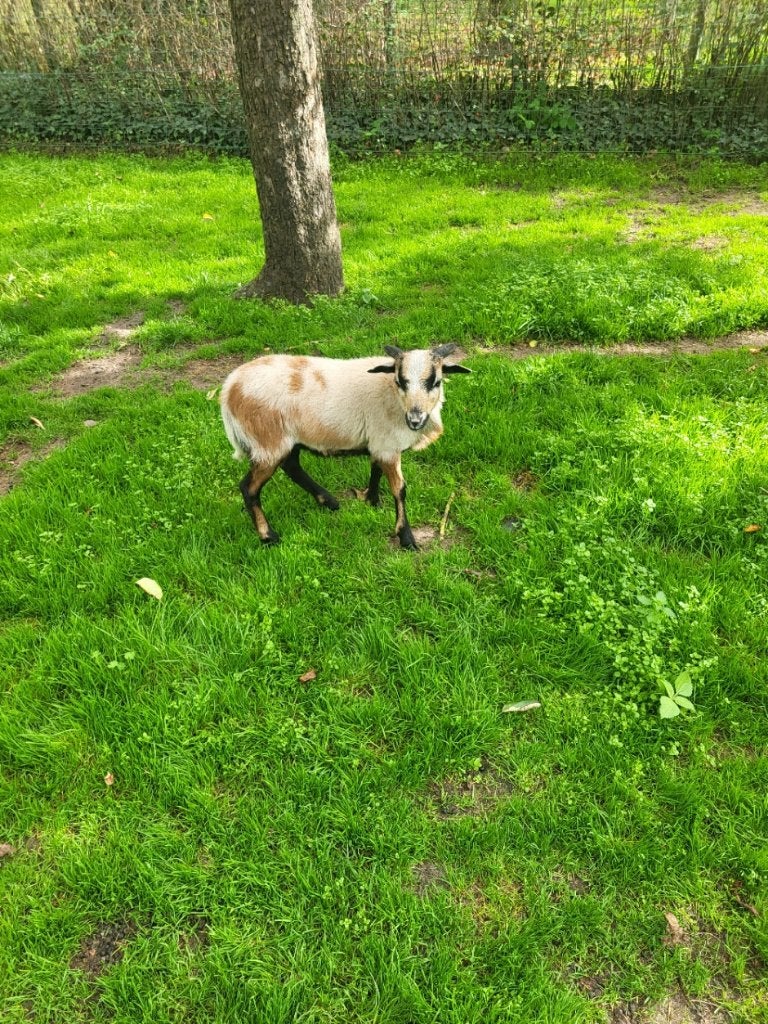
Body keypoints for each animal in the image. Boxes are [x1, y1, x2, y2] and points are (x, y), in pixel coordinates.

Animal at [220, 343, 471, 549]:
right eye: (400, 382)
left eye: (436, 382)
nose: (415, 420)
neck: (392, 396)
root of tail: (228, 388)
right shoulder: (388, 446)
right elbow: (399, 490)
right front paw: (406, 538)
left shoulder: (379, 442)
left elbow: (375, 470)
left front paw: (372, 501)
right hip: (268, 440)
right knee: (249, 488)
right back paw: (268, 536)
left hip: (284, 440)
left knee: (292, 467)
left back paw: (328, 501)